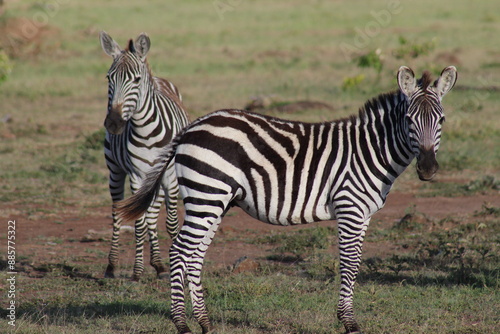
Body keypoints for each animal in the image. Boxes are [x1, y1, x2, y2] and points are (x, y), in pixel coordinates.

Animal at [99, 32, 189, 282]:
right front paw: (137, 271)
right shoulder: (136, 175)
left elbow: (170, 223)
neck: (147, 132)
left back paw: (158, 263)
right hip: (115, 171)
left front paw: (175, 268)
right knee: (117, 213)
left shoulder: (169, 175)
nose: (114, 124)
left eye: (137, 80)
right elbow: (138, 224)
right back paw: (112, 266)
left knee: (152, 214)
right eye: (109, 78)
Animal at [114, 66, 458, 334]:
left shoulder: (364, 215)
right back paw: (182, 324)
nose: (428, 169)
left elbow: (357, 263)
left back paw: (205, 323)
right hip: (206, 195)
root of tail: (192, 126)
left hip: (211, 201)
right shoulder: (349, 209)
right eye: (410, 120)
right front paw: (349, 322)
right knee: (180, 252)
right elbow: (348, 263)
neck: (370, 150)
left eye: (441, 121)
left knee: (194, 255)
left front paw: (347, 318)